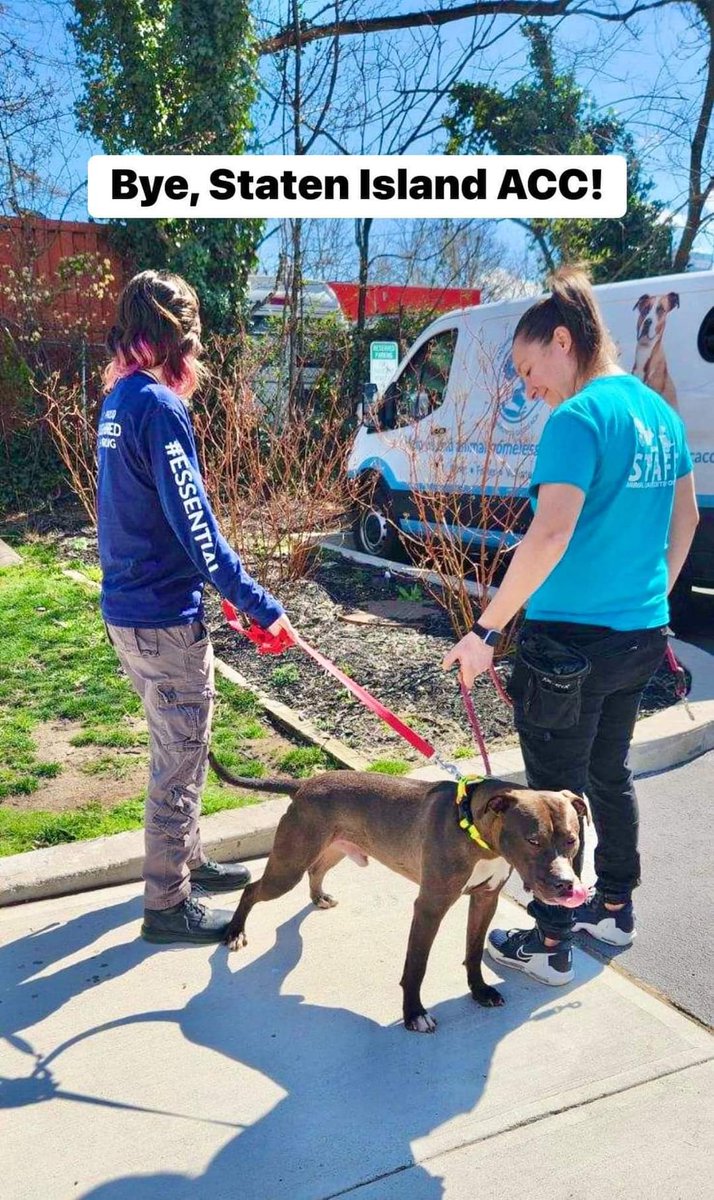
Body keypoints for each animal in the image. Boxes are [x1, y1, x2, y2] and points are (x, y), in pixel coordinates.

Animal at [210, 758, 590, 1032]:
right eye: (533, 840)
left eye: (572, 839)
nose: (566, 885)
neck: (476, 833)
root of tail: (304, 784)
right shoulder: (430, 907)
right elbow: (416, 965)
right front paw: (414, 1014)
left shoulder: (486, 899)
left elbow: (473, 949)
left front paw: (479, 990)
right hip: (287, 867)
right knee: (252, 889)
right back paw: (235, 932)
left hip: (334, 846)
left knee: (316, 869)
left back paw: (318, 897)